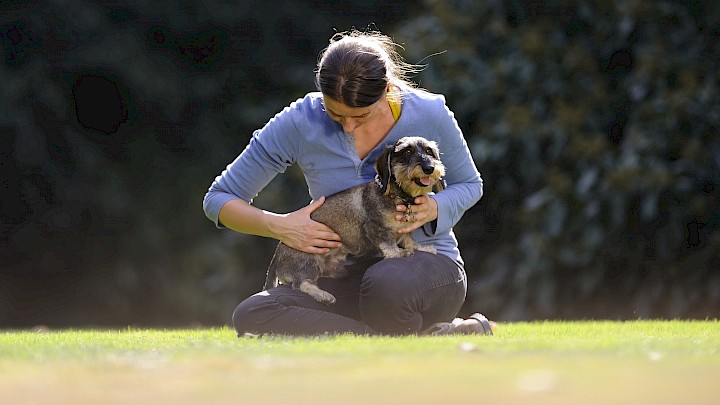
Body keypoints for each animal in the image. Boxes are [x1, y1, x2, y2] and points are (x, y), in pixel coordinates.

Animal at [262, 136, 448, 304]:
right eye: (407, 151)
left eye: (429, 151)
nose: (429, 168)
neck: (397, 196)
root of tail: (275, 259)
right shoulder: (375, 228)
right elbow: (389, 245)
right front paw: (399, 253)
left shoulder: (404, 230)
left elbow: (409, 239)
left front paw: (421, 247)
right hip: (308, 261)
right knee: (301, 284)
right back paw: (323, 295)